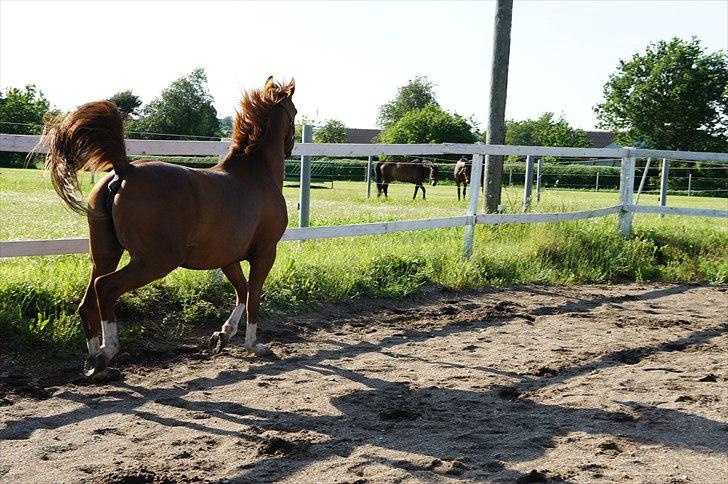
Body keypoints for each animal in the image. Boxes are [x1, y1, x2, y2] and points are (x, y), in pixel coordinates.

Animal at [39, 76, 294, 378]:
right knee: (106, 288)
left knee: (88, 301)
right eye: (294, 112)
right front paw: (254, 345)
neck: (257, 174)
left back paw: (94, 363)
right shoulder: (266, 253)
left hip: (105, 255)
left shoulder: (227, 258)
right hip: (155, 261)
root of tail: (125, 170)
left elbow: (241, 291)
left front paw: (222, 335)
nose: (290, 146)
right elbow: (254, 295)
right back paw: (107, 351)